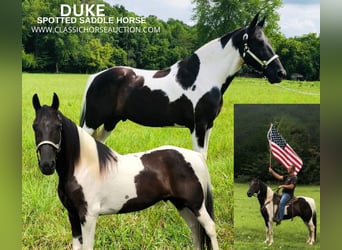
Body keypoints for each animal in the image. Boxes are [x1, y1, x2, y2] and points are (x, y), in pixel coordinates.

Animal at [32, 93, 219, 249]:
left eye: (58, 126)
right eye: (35, 127)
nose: (47, 165)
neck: (83, 167)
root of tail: (196, 157)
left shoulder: (88, 216)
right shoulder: (73, 215)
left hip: (196, 204)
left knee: (209, 228)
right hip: (181, 204)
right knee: (195, 229)